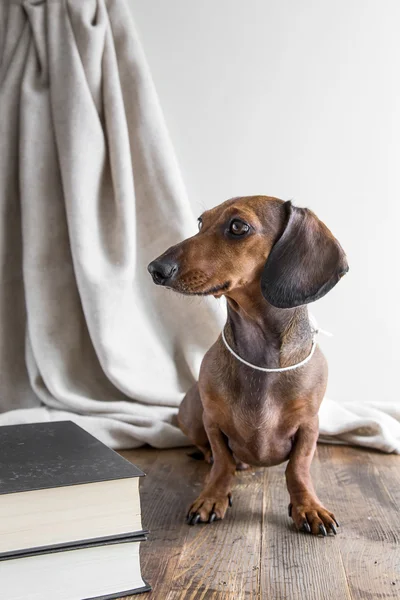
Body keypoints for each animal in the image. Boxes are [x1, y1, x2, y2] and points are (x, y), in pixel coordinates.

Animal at [147, 196, 346, 536]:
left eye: (238, 226)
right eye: (200, 222)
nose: (155, 269)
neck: (261, 356)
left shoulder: (309, 424)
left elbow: (298, 467)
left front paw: (308, 507)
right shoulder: (212, 420)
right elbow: (222, 461)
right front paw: (212, 496)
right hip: (190, 413)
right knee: (206, 450)